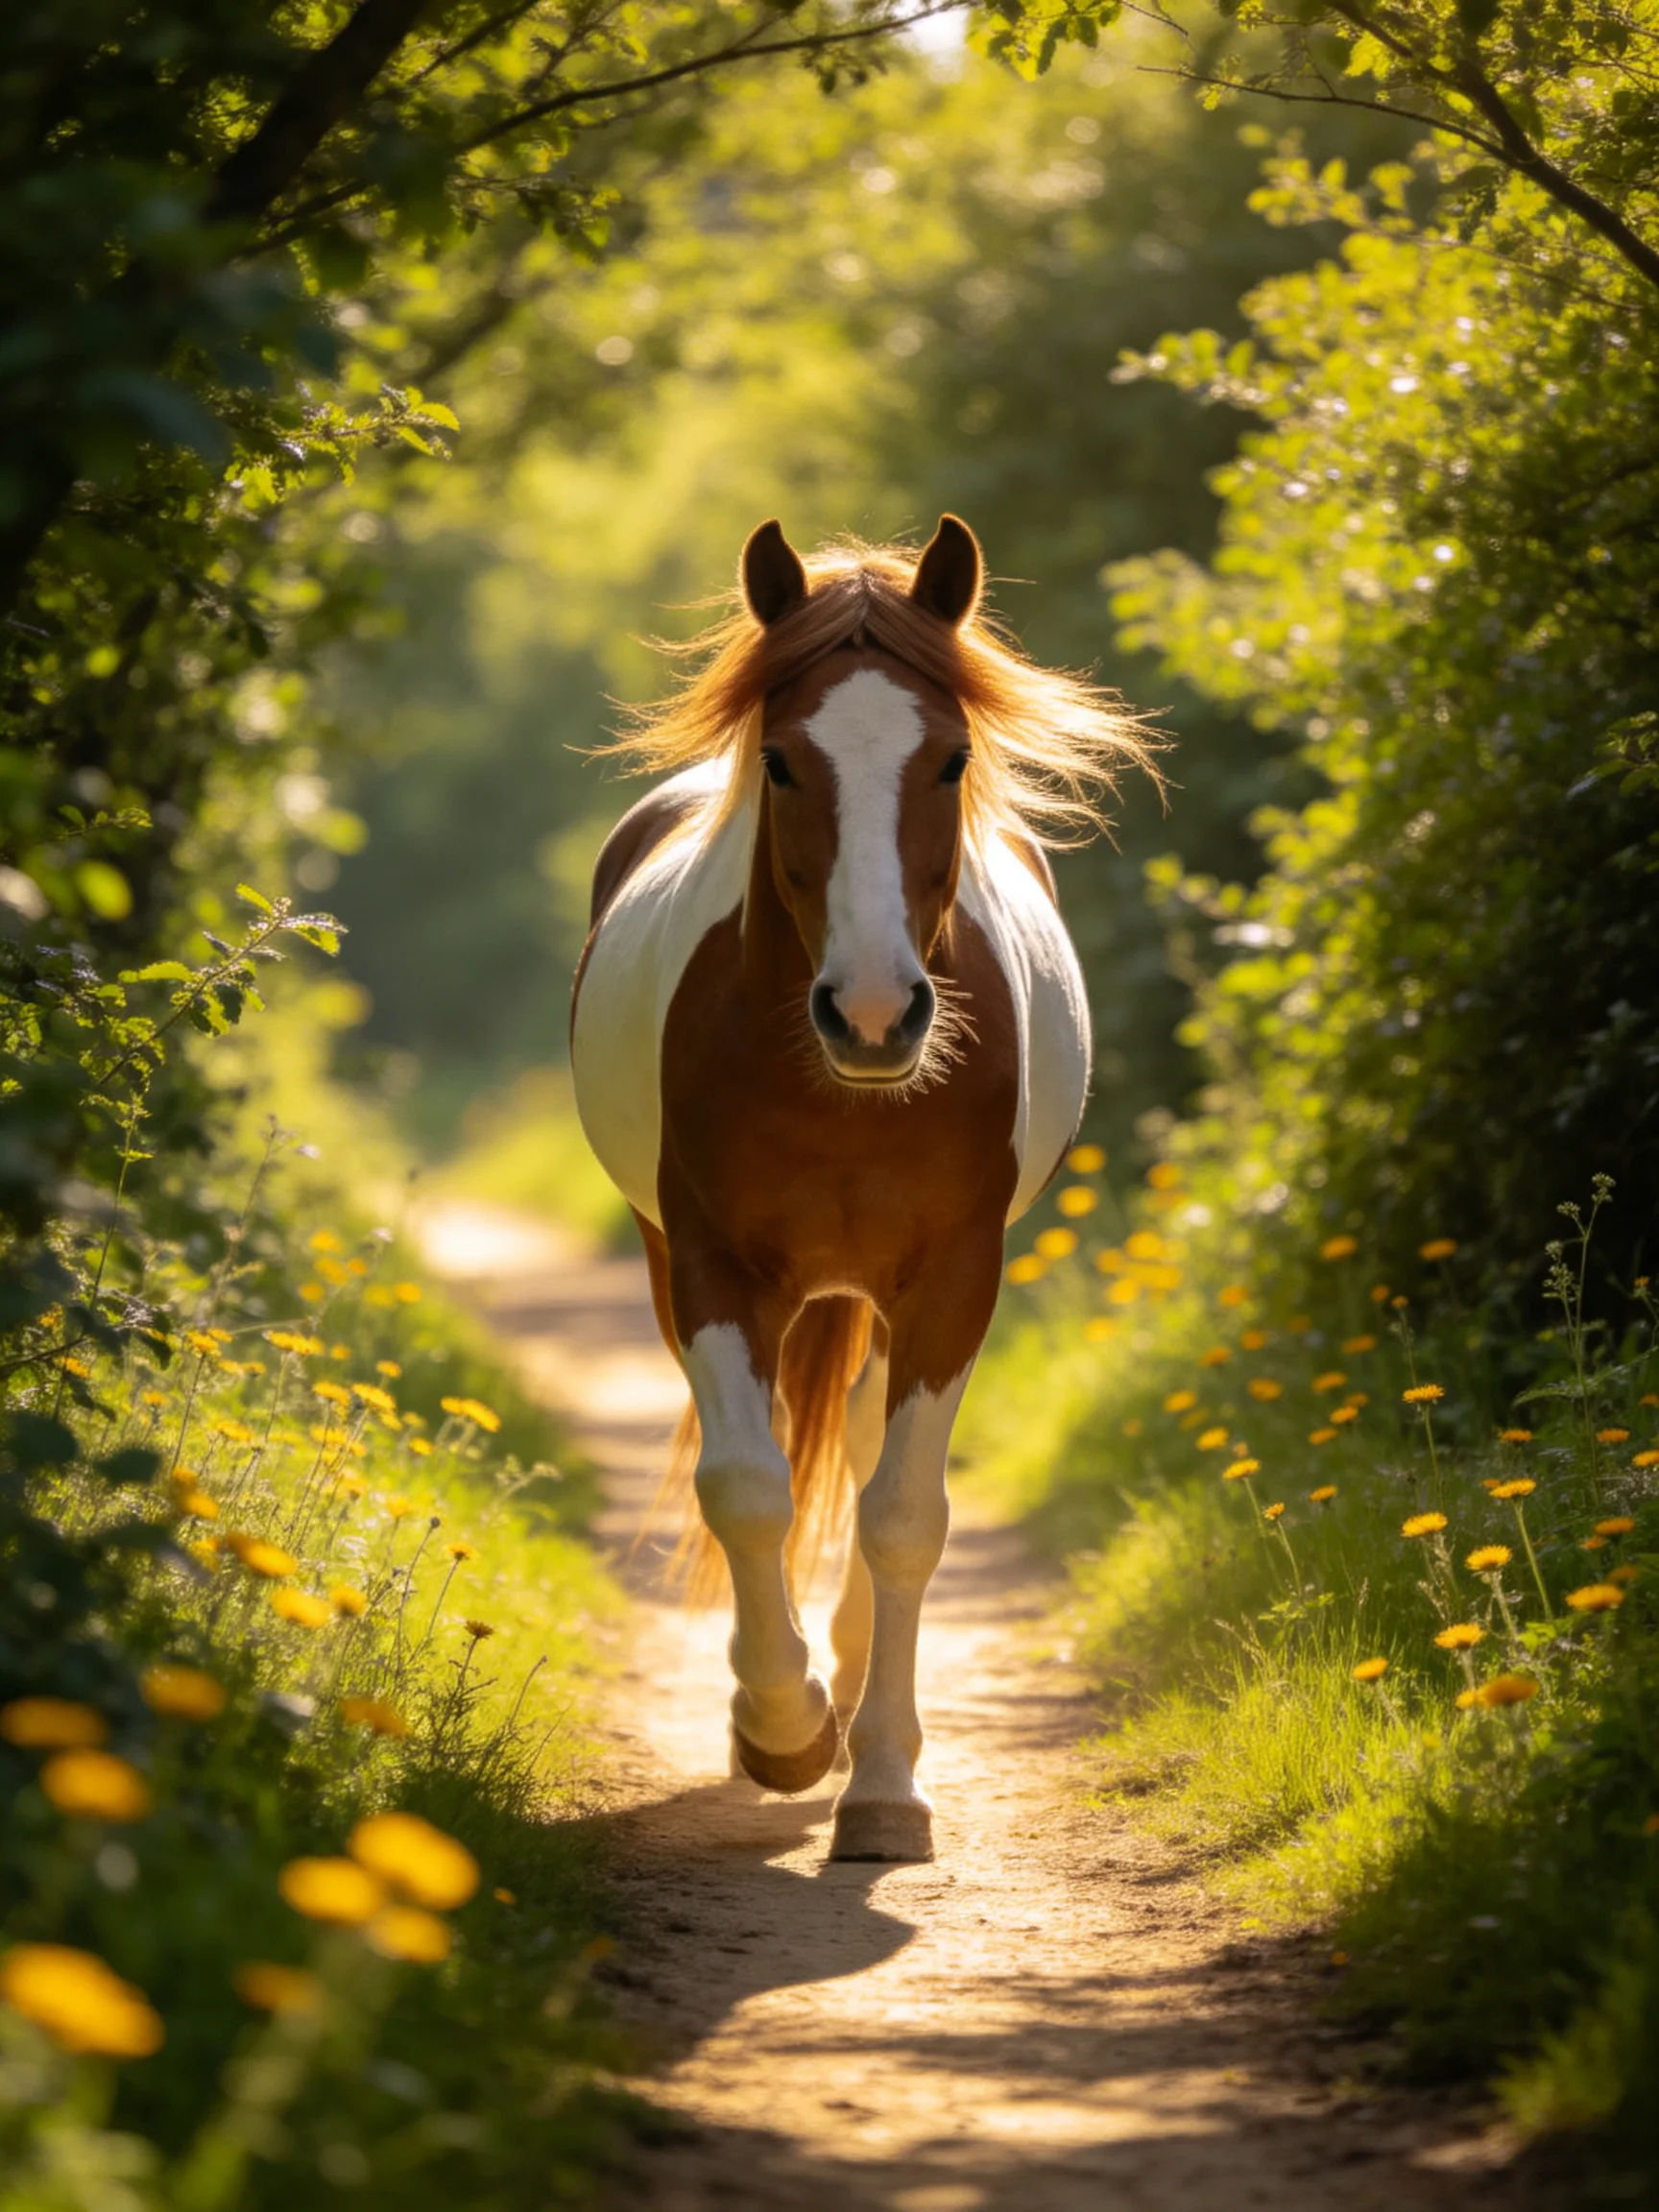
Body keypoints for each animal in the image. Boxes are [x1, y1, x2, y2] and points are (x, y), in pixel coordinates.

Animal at [571, 516, 1149, 1861]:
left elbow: (903, 1518)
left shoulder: (956, 1279)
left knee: (877, 1462)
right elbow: (747, 1488)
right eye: (783, 762)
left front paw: (883, 1785)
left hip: (883, 1300)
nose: (877, 1016)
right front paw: (783, 1732)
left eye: (952, 760)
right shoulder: (712, 1267)